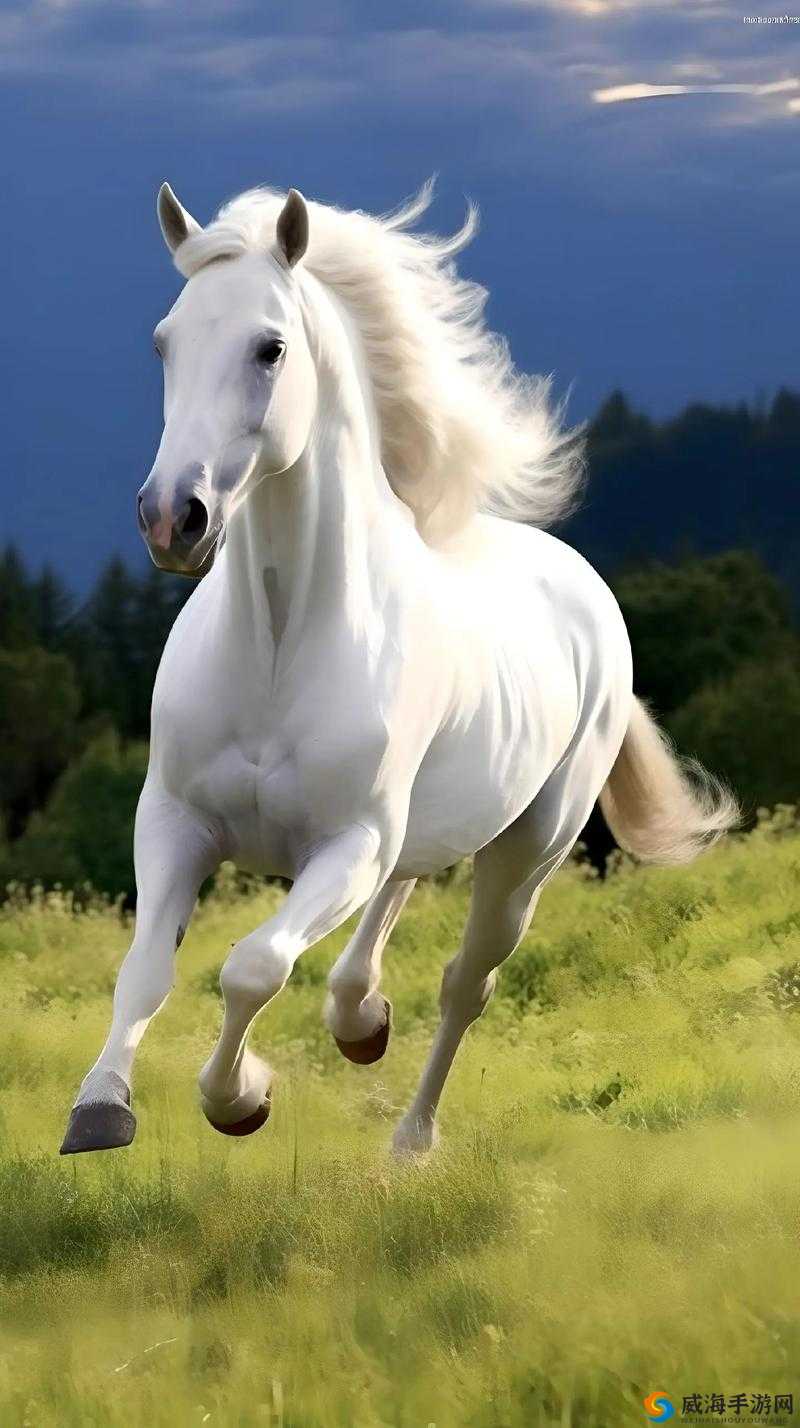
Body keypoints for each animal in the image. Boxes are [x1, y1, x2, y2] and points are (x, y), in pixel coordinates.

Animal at [60, 181, 737, 1157]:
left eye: (270, 347)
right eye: (165, 341)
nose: (171, 517)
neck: (279, 646)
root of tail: (585, 588)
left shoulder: (346, 843)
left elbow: (253, 967)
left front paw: (240, 1100)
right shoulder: (175, 821)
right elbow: (145, 969)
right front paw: (100, 1109)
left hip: (526, 854)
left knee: (465, 982)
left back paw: (410, 1140)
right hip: (423, 827)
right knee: (395, 903)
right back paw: (361, 1020)